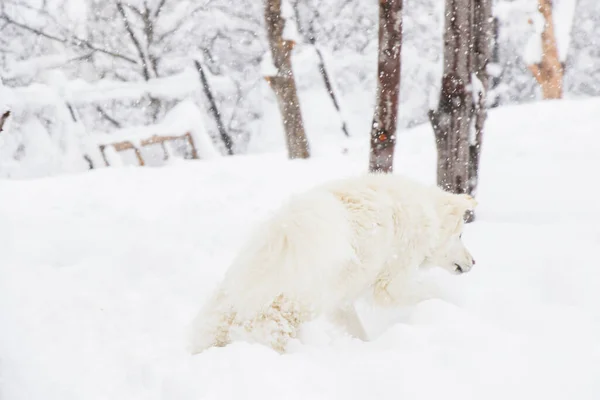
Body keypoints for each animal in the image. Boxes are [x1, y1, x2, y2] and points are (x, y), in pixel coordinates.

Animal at [188, 173, 478, 354]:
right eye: (461, 235)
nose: (474, 262)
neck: (426, 214)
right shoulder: (391, 285)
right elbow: (433, 292)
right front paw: (455, 307)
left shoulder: (343, 302)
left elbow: (357, 329)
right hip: (296, 308)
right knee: (270, 331)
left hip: (222, 316)